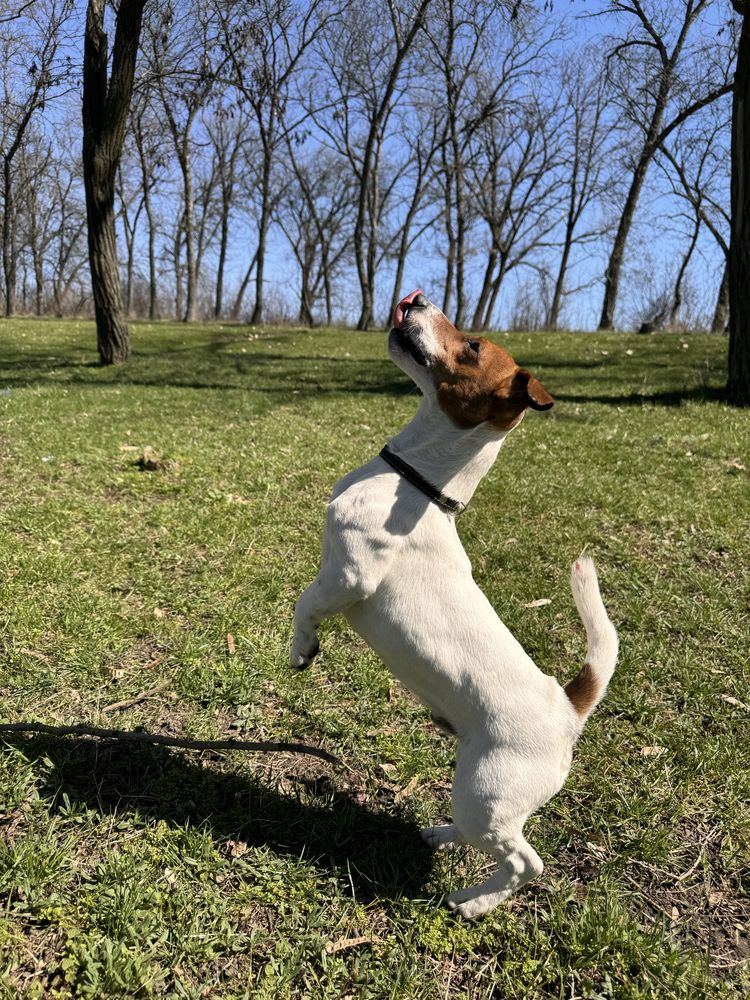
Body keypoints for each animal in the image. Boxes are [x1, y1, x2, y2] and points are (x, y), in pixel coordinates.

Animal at [290, 288, 620, 916]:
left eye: (471, 345)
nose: (417, 297)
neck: (417, 484)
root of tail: (568, 708)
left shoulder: (349, 575)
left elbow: (306, 603)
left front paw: (302, 650)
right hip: (472, 791)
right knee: (478, 837)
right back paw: (440, 834)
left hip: (485, 796)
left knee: (526, 863)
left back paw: (472, 903)